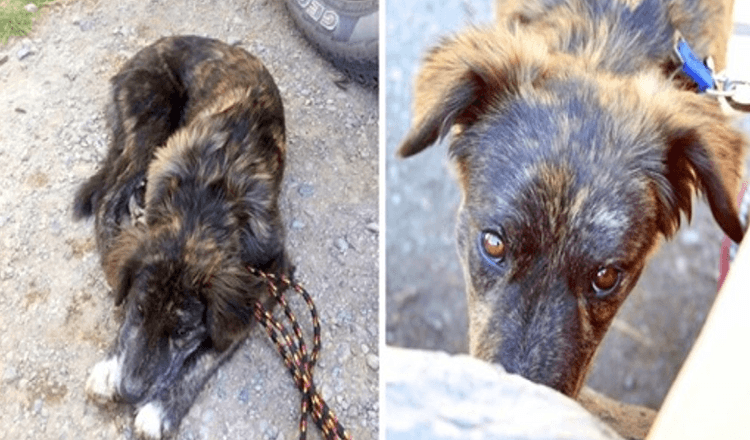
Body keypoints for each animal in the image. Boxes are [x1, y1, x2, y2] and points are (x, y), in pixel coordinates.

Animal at [73, 36, 290, 438]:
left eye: (183, 332)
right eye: (139, 310)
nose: (130, 392)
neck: (206, 199)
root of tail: (154, 45)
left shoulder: (274, 269)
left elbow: (211, 352)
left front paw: (161, 408)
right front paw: (111, 366)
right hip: (152, 123)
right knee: (108, 195)